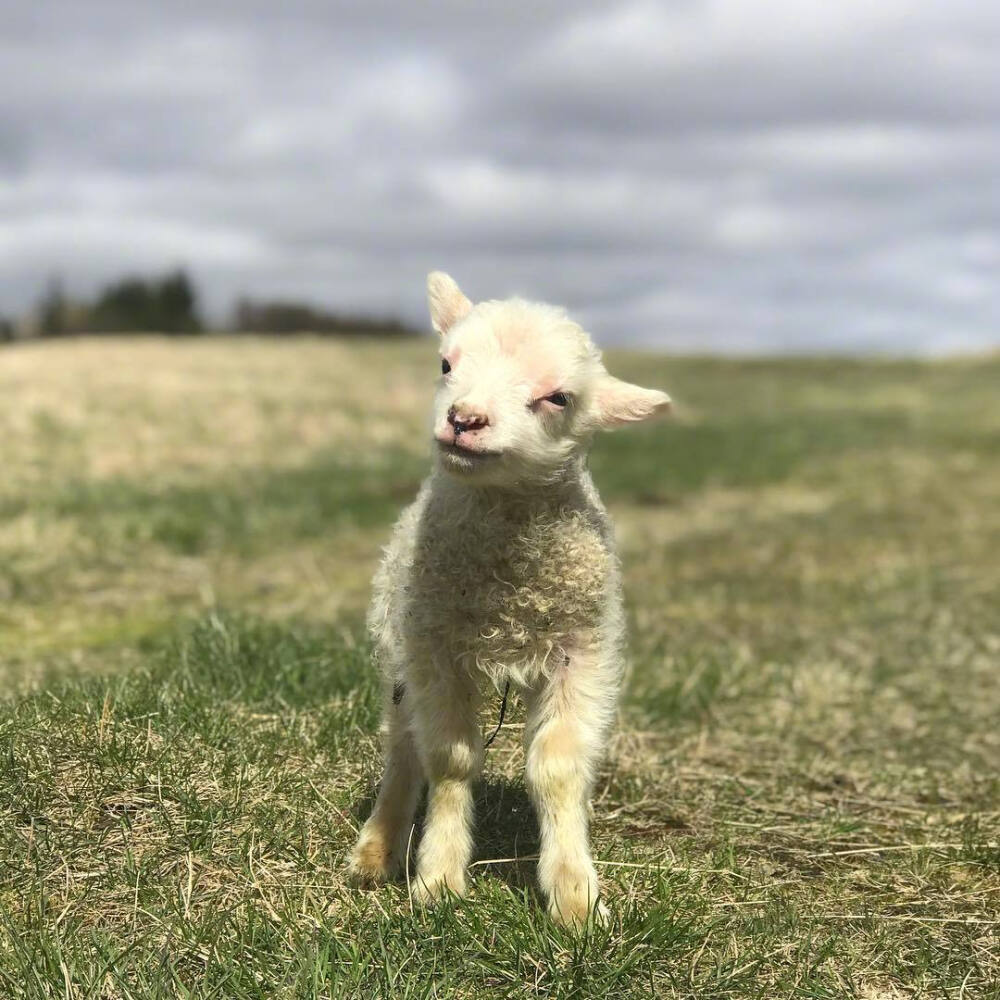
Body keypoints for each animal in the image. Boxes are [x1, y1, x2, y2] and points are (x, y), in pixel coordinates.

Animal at [352, 274, 672, 928]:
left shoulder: (582, 653)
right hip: (400, 643)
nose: (465, 419)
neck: (509, 590)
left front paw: (576, 897)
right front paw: (438, 880)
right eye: (445, 364)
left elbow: (558, 767)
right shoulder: (436, 649)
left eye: (559, 398)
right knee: (402, 743)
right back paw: (379, 846)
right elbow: (449, 758)